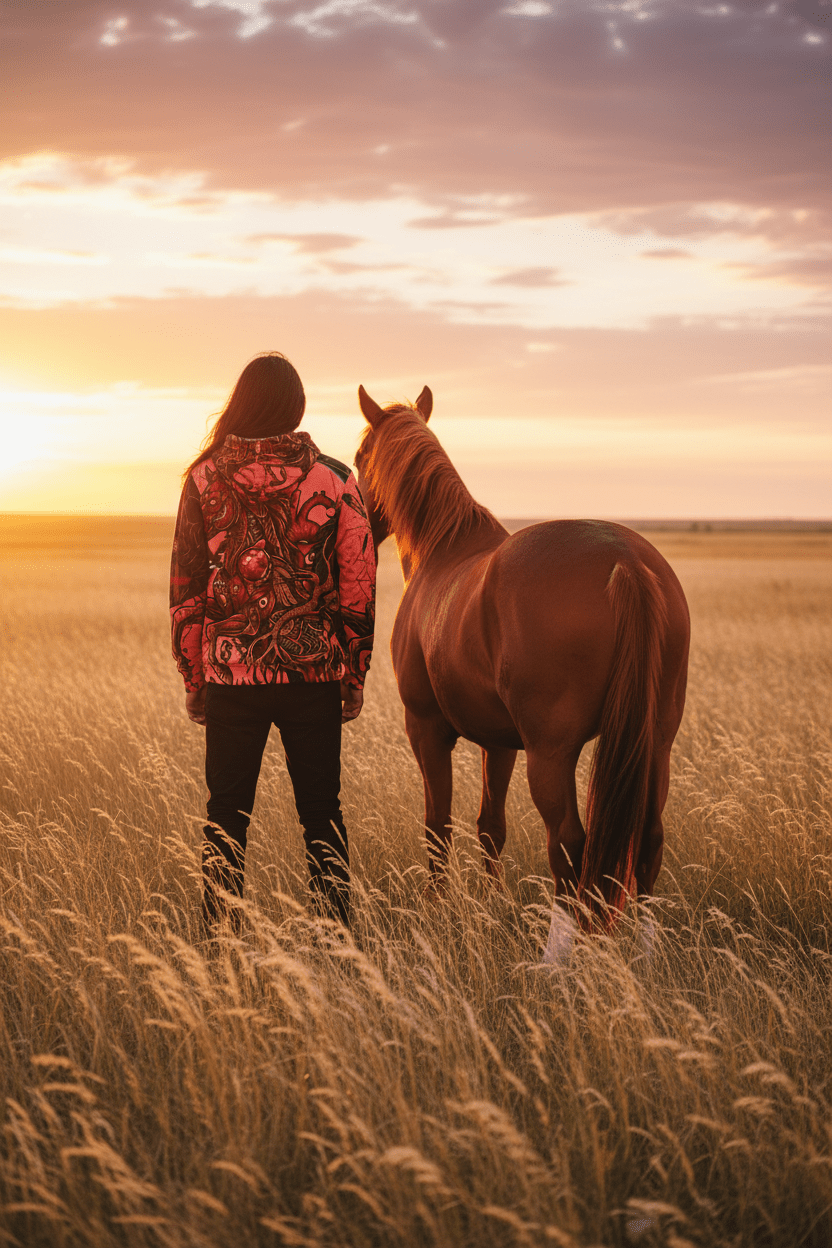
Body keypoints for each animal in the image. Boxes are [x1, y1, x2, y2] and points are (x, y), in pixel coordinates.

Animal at [354, 385, 690, 955]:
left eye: (358, 458)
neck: (443, 551)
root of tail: (624, 560)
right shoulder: (500, 742)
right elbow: (491, 825)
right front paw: (489, 904)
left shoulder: (426, 729)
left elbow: (437, 825)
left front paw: (438, 905)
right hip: (655, 743)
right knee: (648, 838)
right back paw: (646, 951)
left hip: (550, 753)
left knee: (569, 844)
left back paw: (557, 955)